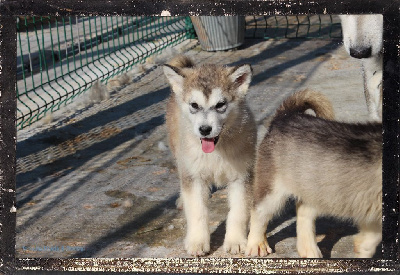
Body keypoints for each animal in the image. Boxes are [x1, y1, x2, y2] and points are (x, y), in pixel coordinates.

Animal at [164, 55, 258, 256]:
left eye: (220, 105)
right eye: (194, 105)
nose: (205, 129)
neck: (216, 151)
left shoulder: (242, 177)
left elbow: (238, 212)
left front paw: (235, 240)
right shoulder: (194, 177)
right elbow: (197, 211)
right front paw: (197, 241)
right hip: (179, 154)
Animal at [247, 90, 382, 258]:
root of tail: (286, 115)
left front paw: (363, 246)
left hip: (314, 186)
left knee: (304, 211)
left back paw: (309, 249)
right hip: (272, 189)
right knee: (258, 212)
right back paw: (256, 243)